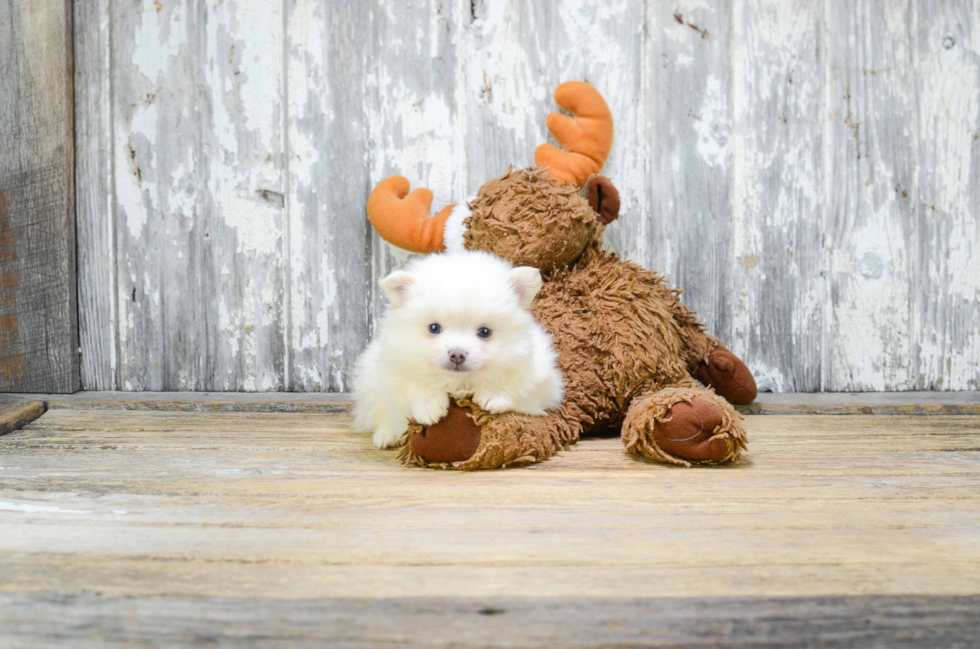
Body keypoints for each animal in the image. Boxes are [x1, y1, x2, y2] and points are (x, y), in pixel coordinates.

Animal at [356, 251, 564, 448]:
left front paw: (493, 395)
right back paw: (387, 435)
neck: (460, 384)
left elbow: (517, 387)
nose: (457, 354)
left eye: (485, 332)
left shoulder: (542, 383)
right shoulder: (394, 371)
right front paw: (429, 406)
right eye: (434, 328)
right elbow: (416, 385)